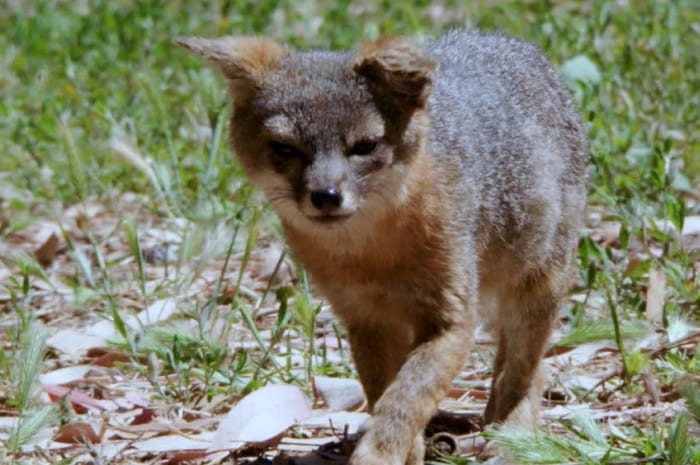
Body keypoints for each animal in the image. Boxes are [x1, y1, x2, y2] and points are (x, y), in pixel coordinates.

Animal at [175, 30, 588, 465]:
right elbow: (384, 395)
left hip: (535, 291)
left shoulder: (451, 320)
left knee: (526, 371)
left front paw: (379, 453)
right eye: (286, 148)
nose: (326, 195)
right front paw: (411, 450)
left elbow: (405, 399)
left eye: (365, 146)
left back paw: (511, 435)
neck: (370, 257)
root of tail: (503, 38)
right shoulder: (366, 319)